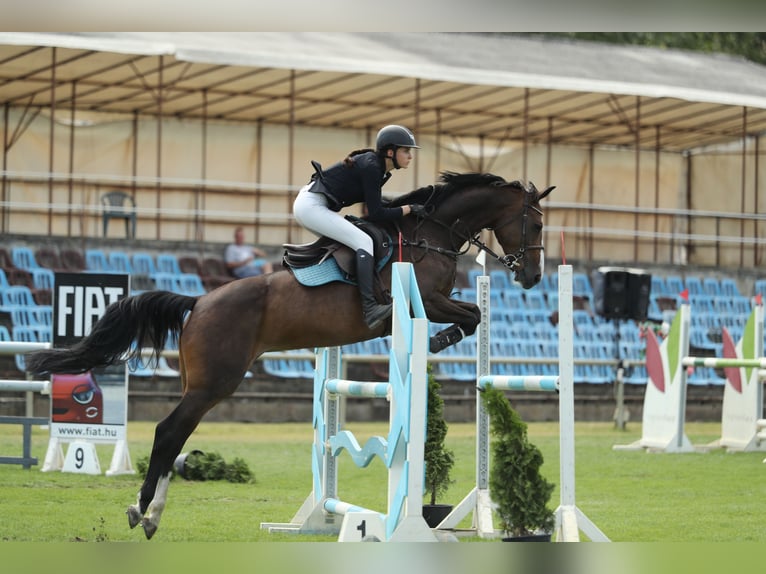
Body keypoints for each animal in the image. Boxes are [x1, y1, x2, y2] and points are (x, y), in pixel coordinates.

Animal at [25, 171, 553, 539]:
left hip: (201, 383)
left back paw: (152, 514)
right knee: (169, 431)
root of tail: (198, 302)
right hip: (216, 382)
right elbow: (471, 315)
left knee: (176, 437)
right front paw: (442, 340)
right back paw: (141, 510)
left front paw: (444, 340)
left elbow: (473, 314)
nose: (531, 277)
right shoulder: (422, 300)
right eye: (535, 222)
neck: (432, 235)